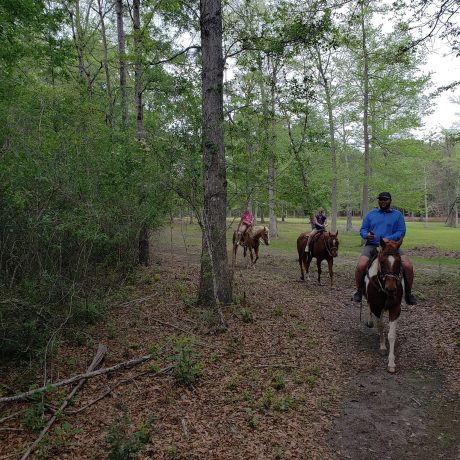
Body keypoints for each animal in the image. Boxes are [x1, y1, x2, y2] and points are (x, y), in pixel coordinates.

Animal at [364, 237, 404, 374]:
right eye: (382, 262)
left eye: (399, 261)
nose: (391, 288)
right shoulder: (376, 307)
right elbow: (381, 326)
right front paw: (382, 346)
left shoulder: (395, 309)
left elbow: (391, 335)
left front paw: (391, 363)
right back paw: (370, 322)